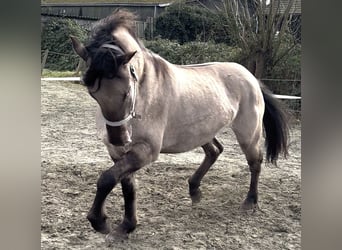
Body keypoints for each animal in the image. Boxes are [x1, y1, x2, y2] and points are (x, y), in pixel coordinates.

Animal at [70, 9, 288, 240]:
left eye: (127, 91)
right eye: (92, 92)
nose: (119, 138)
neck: (146, 87)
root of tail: (251, 78)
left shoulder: (146, 151)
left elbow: (107, 178)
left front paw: (100, 222)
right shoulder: (118, 152)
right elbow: (127, 187)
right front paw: (126, 226)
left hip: (248, 134)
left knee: (255, 163)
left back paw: (249, 202)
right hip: (201, 131)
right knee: (215, 150)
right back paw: (194, 190)